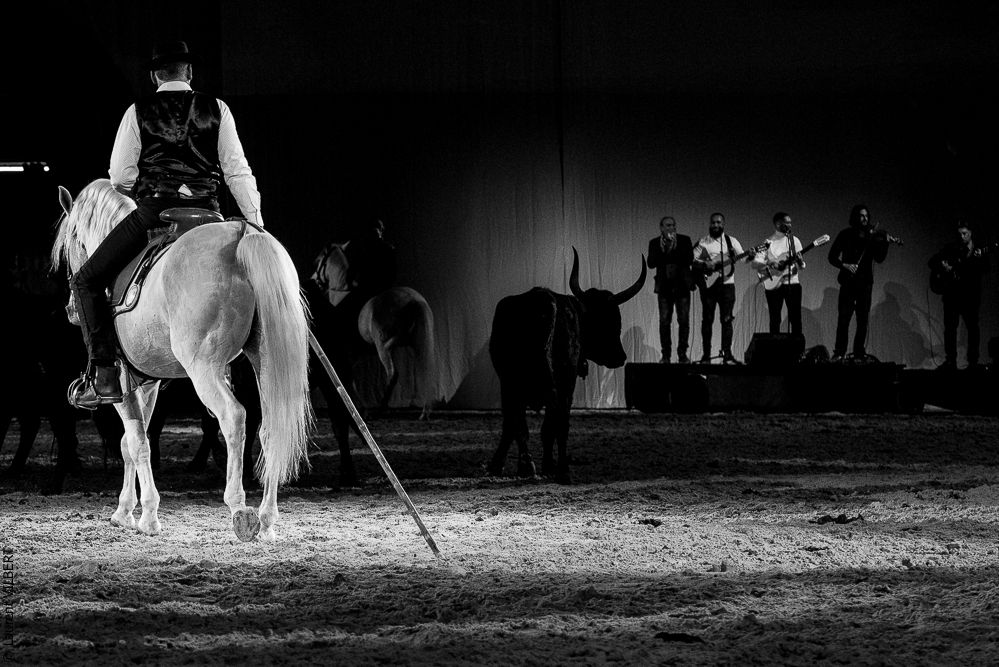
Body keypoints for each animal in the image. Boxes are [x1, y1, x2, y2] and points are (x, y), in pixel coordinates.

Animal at [52, 179, 312, 541]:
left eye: (70, 246)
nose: (70, 311)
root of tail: (241, 234)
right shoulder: (145, 383)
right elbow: (130, 443)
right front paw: (124, 511)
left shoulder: (120, 383)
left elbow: (137, 443)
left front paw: (148, 516)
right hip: (265, 364)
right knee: (271, 427)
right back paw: (267, 519)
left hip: (204, 369)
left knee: (233, 417)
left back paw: (239, 509)